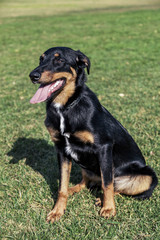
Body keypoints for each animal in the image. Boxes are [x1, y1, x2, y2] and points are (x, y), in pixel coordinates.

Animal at [28, 46, 158, 223]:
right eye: (41, 59)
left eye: (59, 60)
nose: (32, 76)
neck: (65, 107)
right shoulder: (61, 149)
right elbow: (62, 185)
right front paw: (57, 211)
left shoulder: (104, 147)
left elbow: (107, 183)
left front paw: (108, 208)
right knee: (87, 181)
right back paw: (74, 189)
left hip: (149, 176)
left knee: (119, 187)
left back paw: (102, 199)